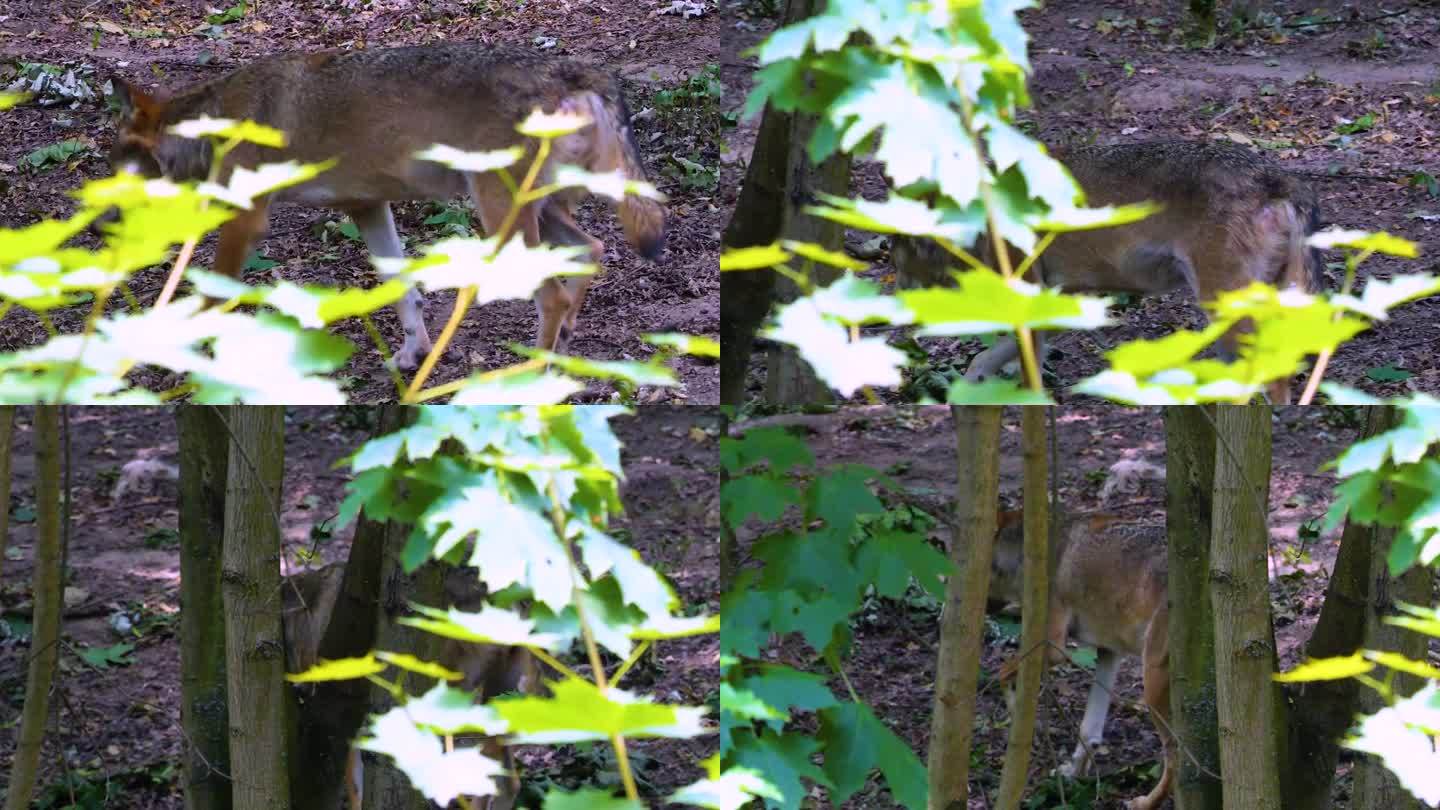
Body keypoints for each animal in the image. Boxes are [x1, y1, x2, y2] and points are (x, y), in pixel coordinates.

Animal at [109, 42, 665, 371]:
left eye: (119, 163)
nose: (103, 225)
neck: (214, 122)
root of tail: (573, 70)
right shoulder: (368, 207)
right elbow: (403, 289)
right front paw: (414, 352)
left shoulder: (247, 220)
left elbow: (211, 294)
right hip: (538, 215)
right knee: (591, 251)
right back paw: (560, 354)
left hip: (501, 217)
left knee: (554, 295)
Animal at [984, 510, 1175, 807]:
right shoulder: (1109, 652)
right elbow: (1090, 730)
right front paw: (1073, 774)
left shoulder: (1052, 648)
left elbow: (1002, 673)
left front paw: (1021, 719)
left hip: (1152, 685)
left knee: (1177, 757)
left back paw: (1145, 803)